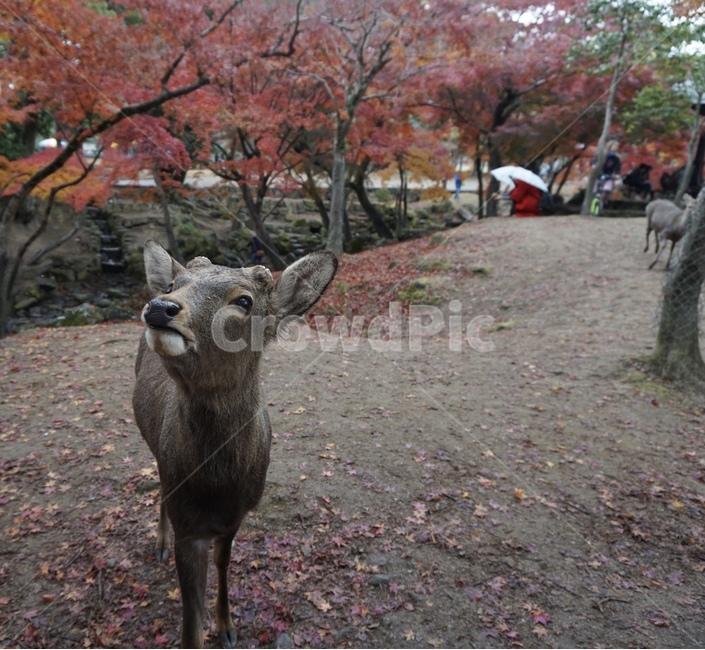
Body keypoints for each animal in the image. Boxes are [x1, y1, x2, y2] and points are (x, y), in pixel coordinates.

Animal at [132, 240, 337, 648]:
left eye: (244, 300)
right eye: (175, 283)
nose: (160, 307)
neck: (217, 488)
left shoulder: (236, 517)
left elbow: (223, 564)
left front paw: (226, 626)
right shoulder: (188, 527)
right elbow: (190, 624)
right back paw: (159, 542)